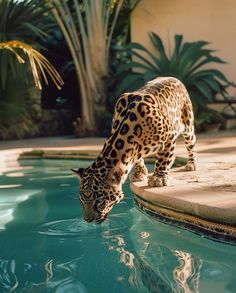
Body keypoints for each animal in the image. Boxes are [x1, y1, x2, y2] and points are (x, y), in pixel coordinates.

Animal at [72, 76, 197, 222]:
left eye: (99, 201)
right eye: (81, 200)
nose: (87, 219)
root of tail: (173, 78)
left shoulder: (169, 136)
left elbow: (163, 158)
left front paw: (159, 178)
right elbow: (137, 159)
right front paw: (140, 173)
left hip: (187, 124)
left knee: (191, 144)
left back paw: (191, 164)